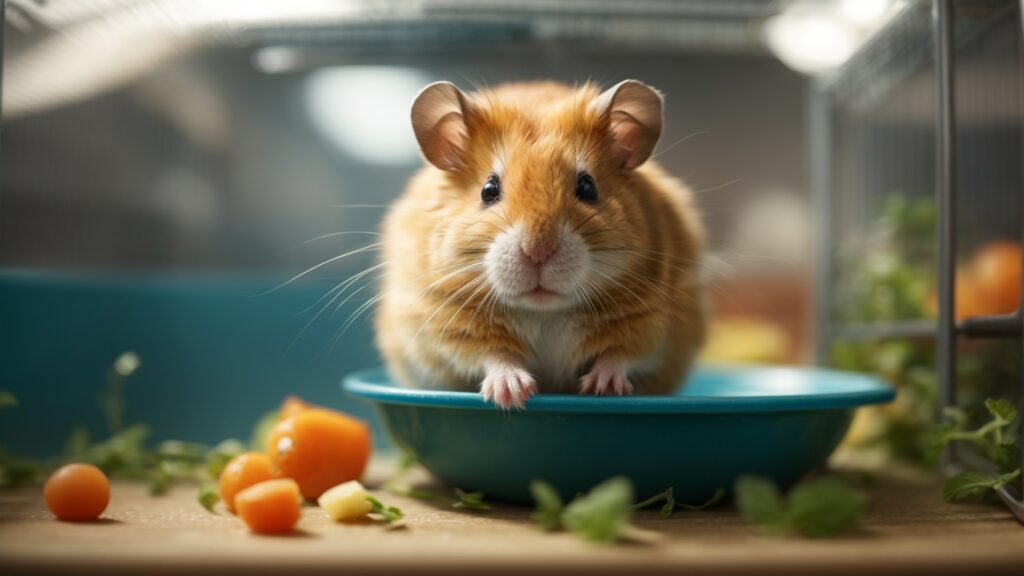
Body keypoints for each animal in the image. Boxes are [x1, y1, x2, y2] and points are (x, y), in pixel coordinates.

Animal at [376, 80, 706, 409]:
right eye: (488, 189)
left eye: (587, 186)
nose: (538, 252)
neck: (544, 311)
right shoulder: (448, 325)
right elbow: (494, 354)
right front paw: (512, 394)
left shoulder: (651, 323)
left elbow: (620, 354)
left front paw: (603, 388)